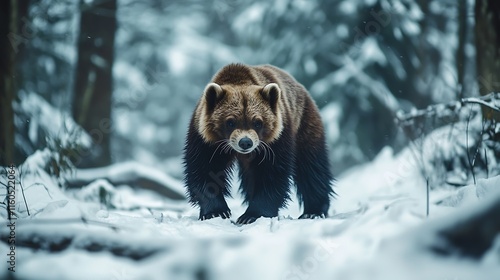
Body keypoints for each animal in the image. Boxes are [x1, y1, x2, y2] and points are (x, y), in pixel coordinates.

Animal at [182, 63, 334, 223]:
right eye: (230, 121)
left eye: (257, 122)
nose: (245, 142)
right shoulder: (206, 140)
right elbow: (204, 170)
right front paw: (216, 212)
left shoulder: (274, 141)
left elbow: (272, 174)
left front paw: (251, 215)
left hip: (304, 124)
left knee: (312, 167)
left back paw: (313, 211)